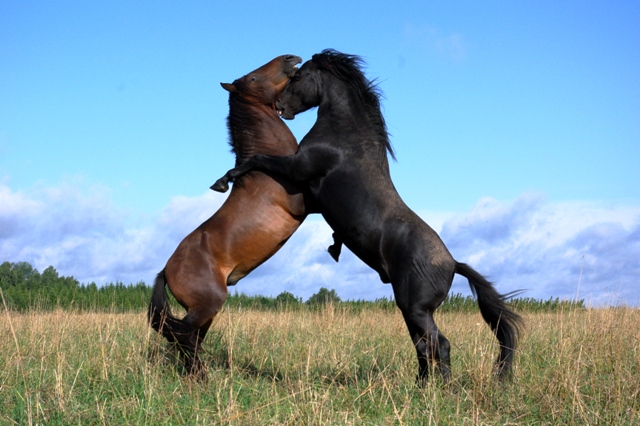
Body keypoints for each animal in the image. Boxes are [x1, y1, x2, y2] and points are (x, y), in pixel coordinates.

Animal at [148, 54, 304, 376]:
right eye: (253, 77)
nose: (290, 58)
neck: (268, 168)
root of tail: (166, 271)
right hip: (209, 304)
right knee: (184, 335)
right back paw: (201, 377)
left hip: (206, 311)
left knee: (188, 337)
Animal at [212, 49, 524, 382]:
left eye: (299, 76)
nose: (281, 106)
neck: (344, 136)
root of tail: (453, 263)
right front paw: (334, 245)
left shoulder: (298, 170)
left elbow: (257, 159)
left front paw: (223, 181)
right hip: (411, 311)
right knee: (424, 347)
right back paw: (421, 387)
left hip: (415, 308)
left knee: (440, 344)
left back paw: (444, 388)